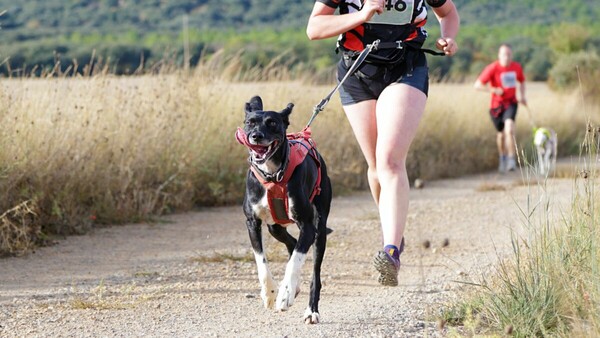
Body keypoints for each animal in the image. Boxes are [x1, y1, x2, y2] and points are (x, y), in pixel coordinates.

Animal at [236, 95, 332, 324]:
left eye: (272, 123)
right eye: (250, 122)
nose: (256, 136)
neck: (272, 175)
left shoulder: (308, 226)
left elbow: (296, 260)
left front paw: (285, 294)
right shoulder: (252, 223)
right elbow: (261, 261)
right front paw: (270, 293)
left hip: (320, 230)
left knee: (314, 272)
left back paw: (311, 310)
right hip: (275, 227)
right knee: (292, 242)